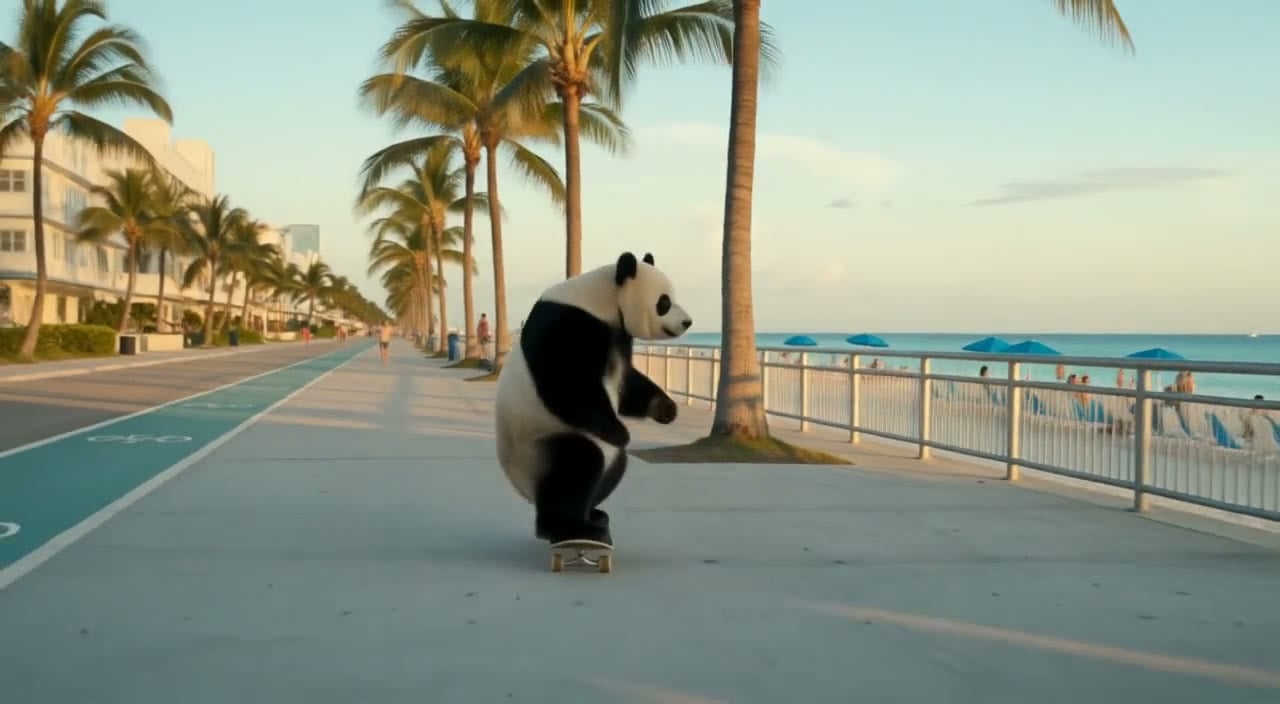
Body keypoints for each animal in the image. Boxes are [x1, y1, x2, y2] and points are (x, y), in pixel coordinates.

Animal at [493, 251, 693, 546]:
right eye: (664, 302)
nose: (687, 322)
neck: (603, 299)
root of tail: (527, 491)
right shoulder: (570, 323)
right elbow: (568, 385)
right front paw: (621, 431)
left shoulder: (618, 336)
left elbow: (625, 385)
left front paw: (665, 409)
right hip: (541, 441)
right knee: (576, 467)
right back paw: (568, 526)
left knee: (613, 467)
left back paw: (593, 514)